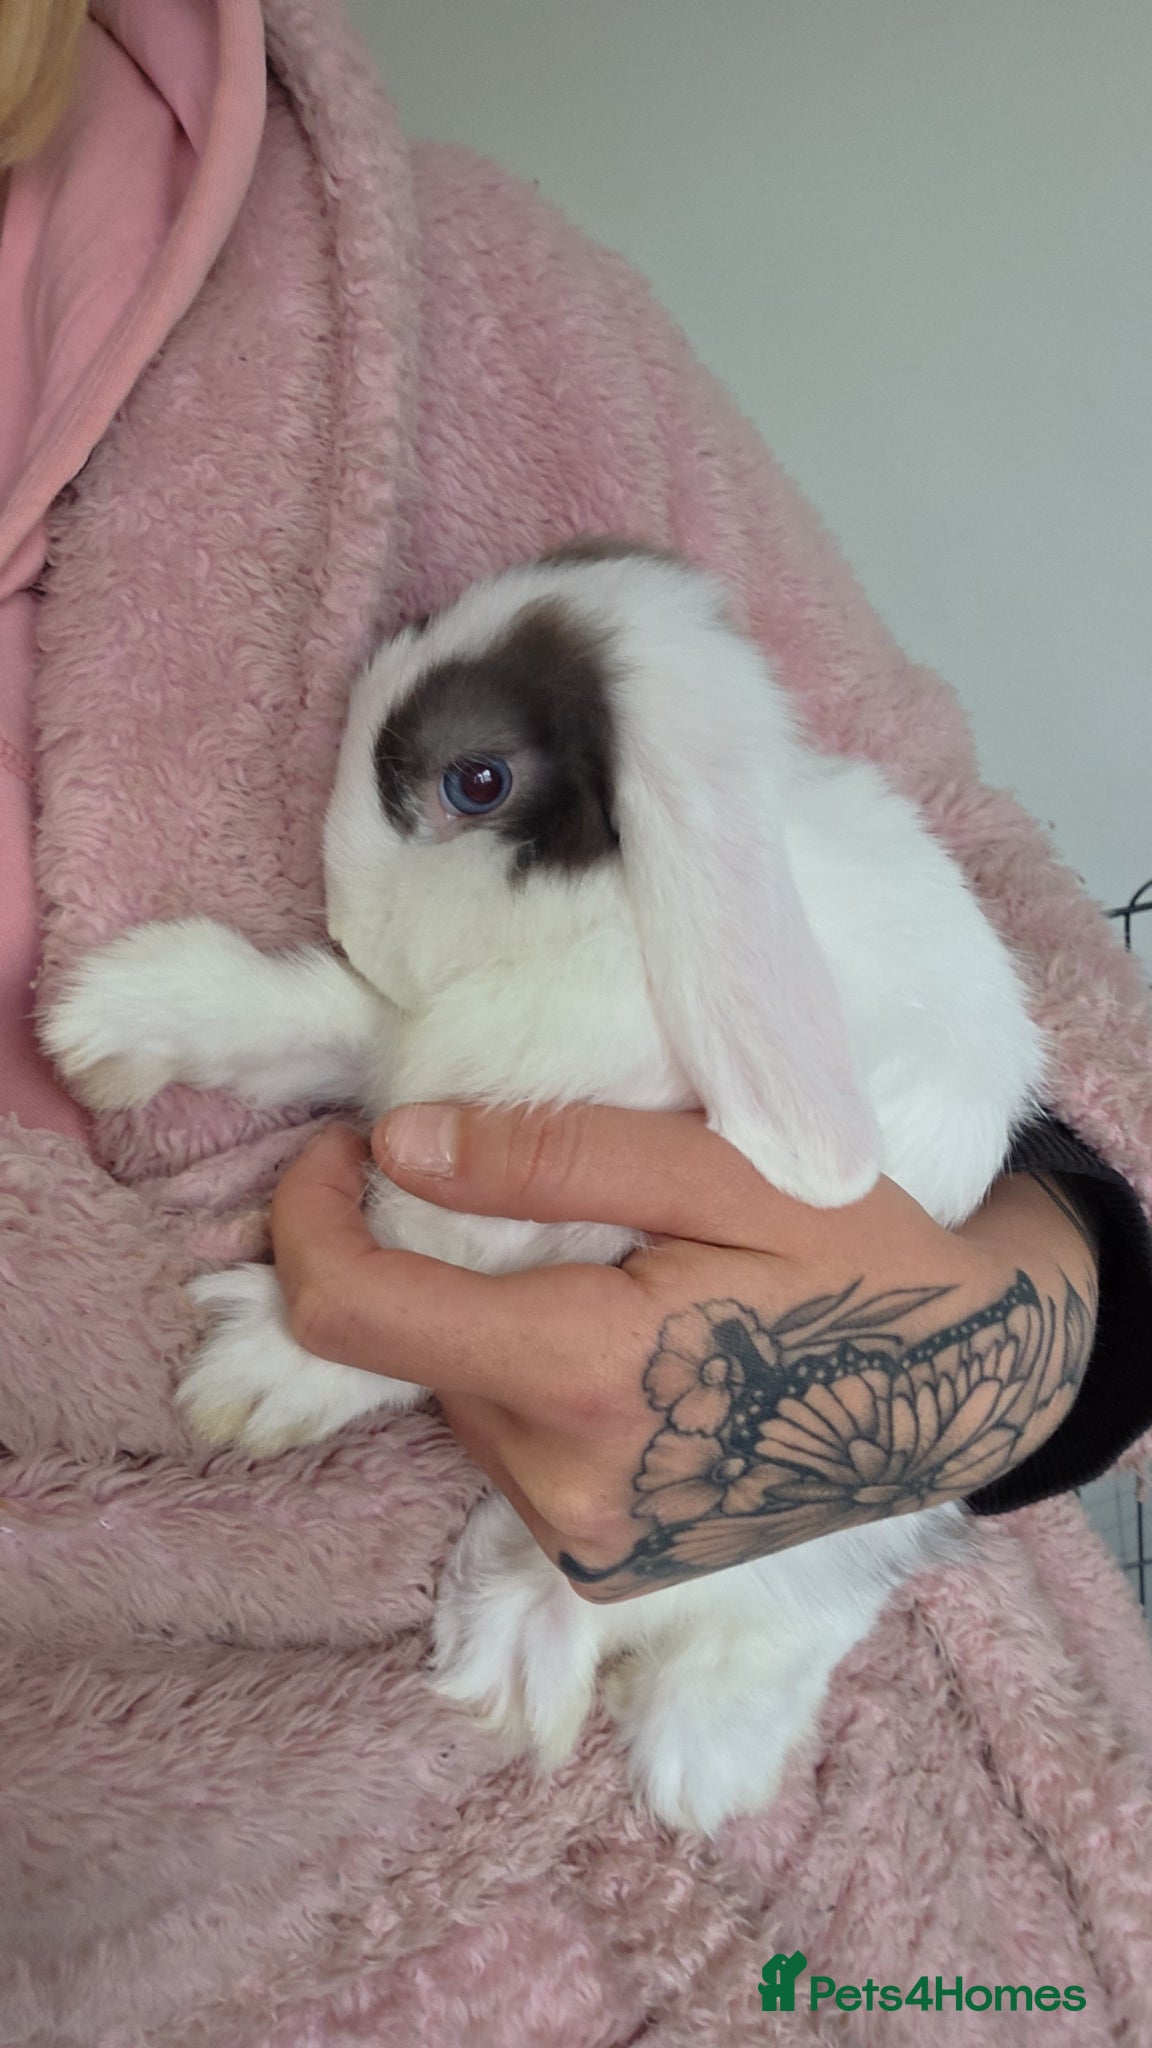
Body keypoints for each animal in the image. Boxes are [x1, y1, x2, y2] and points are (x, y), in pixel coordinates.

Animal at [44, 542, 1047, 1833]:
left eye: (476, 780)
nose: (355, 927)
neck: (600, 927)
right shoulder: (418, 1057)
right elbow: (315, 1022)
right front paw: (119, 1018)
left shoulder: (563, 1220)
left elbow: (422, 1303)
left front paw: (261, 1370)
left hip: (845, 1488)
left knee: (769, 1590)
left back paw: (659, 1732)